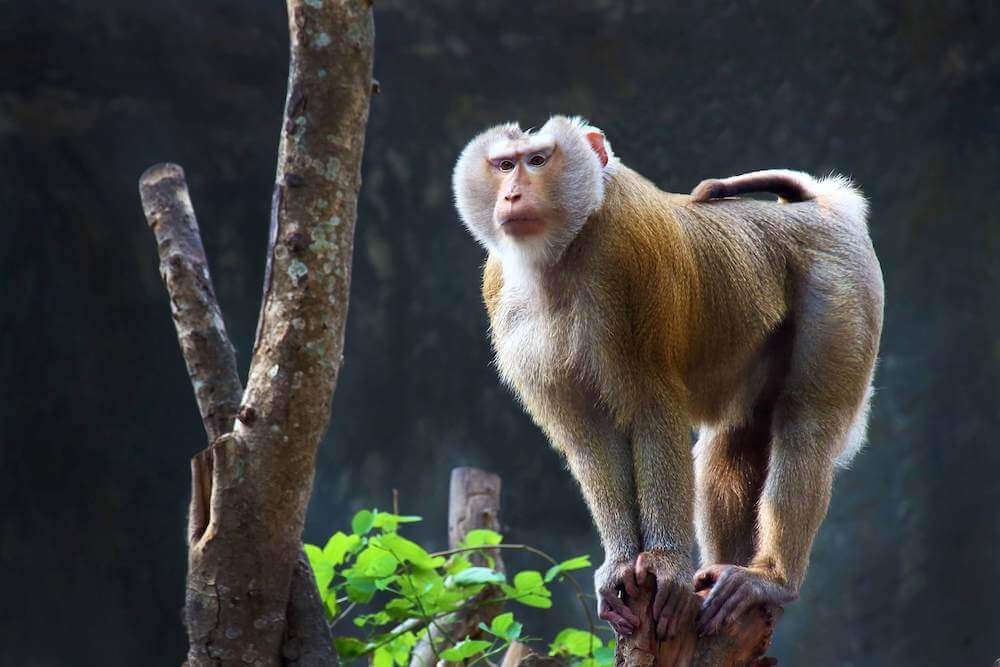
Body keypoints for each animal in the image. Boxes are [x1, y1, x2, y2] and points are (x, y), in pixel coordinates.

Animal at [452, 116, 883, 641]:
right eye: (503, 164)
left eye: (537, 160)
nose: (512, 194)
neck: (564, 254)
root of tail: (819, 207)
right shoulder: (502, 296)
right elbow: (590, 436)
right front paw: (620, 564)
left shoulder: (634, 261)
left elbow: (653, 411)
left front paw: (663, 564)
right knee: (738, 438)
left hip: (844, 283)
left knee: (808, 425)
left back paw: (770, 580)